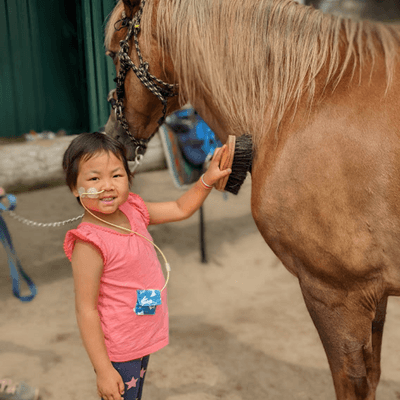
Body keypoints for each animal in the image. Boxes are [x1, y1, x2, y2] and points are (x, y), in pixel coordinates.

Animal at [104, 1, 400, 398]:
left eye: (112, 52)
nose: (113, 137)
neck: (303, 101)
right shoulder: (373, 295)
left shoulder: (335, 295)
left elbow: (351, 382)